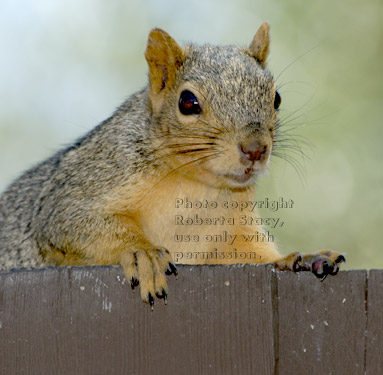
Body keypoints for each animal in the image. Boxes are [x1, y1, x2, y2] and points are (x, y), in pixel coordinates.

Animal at [0, 22, 344, 308]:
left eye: (277, 98)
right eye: (187, 102)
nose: (255, 149)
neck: (196, 185)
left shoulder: (233, 232)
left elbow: (252, 254)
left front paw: (300, 257)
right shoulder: (83, 184)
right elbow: (72, 222)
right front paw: (144, 253)